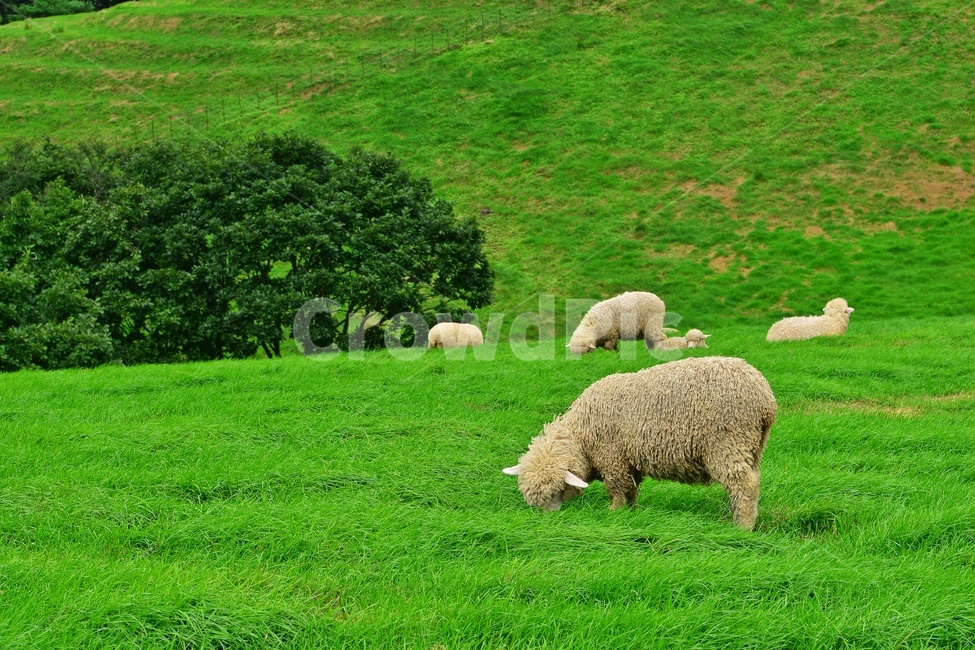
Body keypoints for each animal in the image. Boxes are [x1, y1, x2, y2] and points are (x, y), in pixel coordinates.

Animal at [502, 356, 777, 530]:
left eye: (556, 493)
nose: (546, 521)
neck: (582, 436)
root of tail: (765, 398)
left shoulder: (612, 458)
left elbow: (616, 490)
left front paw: (613, 513)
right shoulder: (628, 462)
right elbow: (631, 490)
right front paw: (631, 514)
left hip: (728, 441)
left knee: (744, 485)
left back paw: (742, 527)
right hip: (752, 447)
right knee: (752, 481)